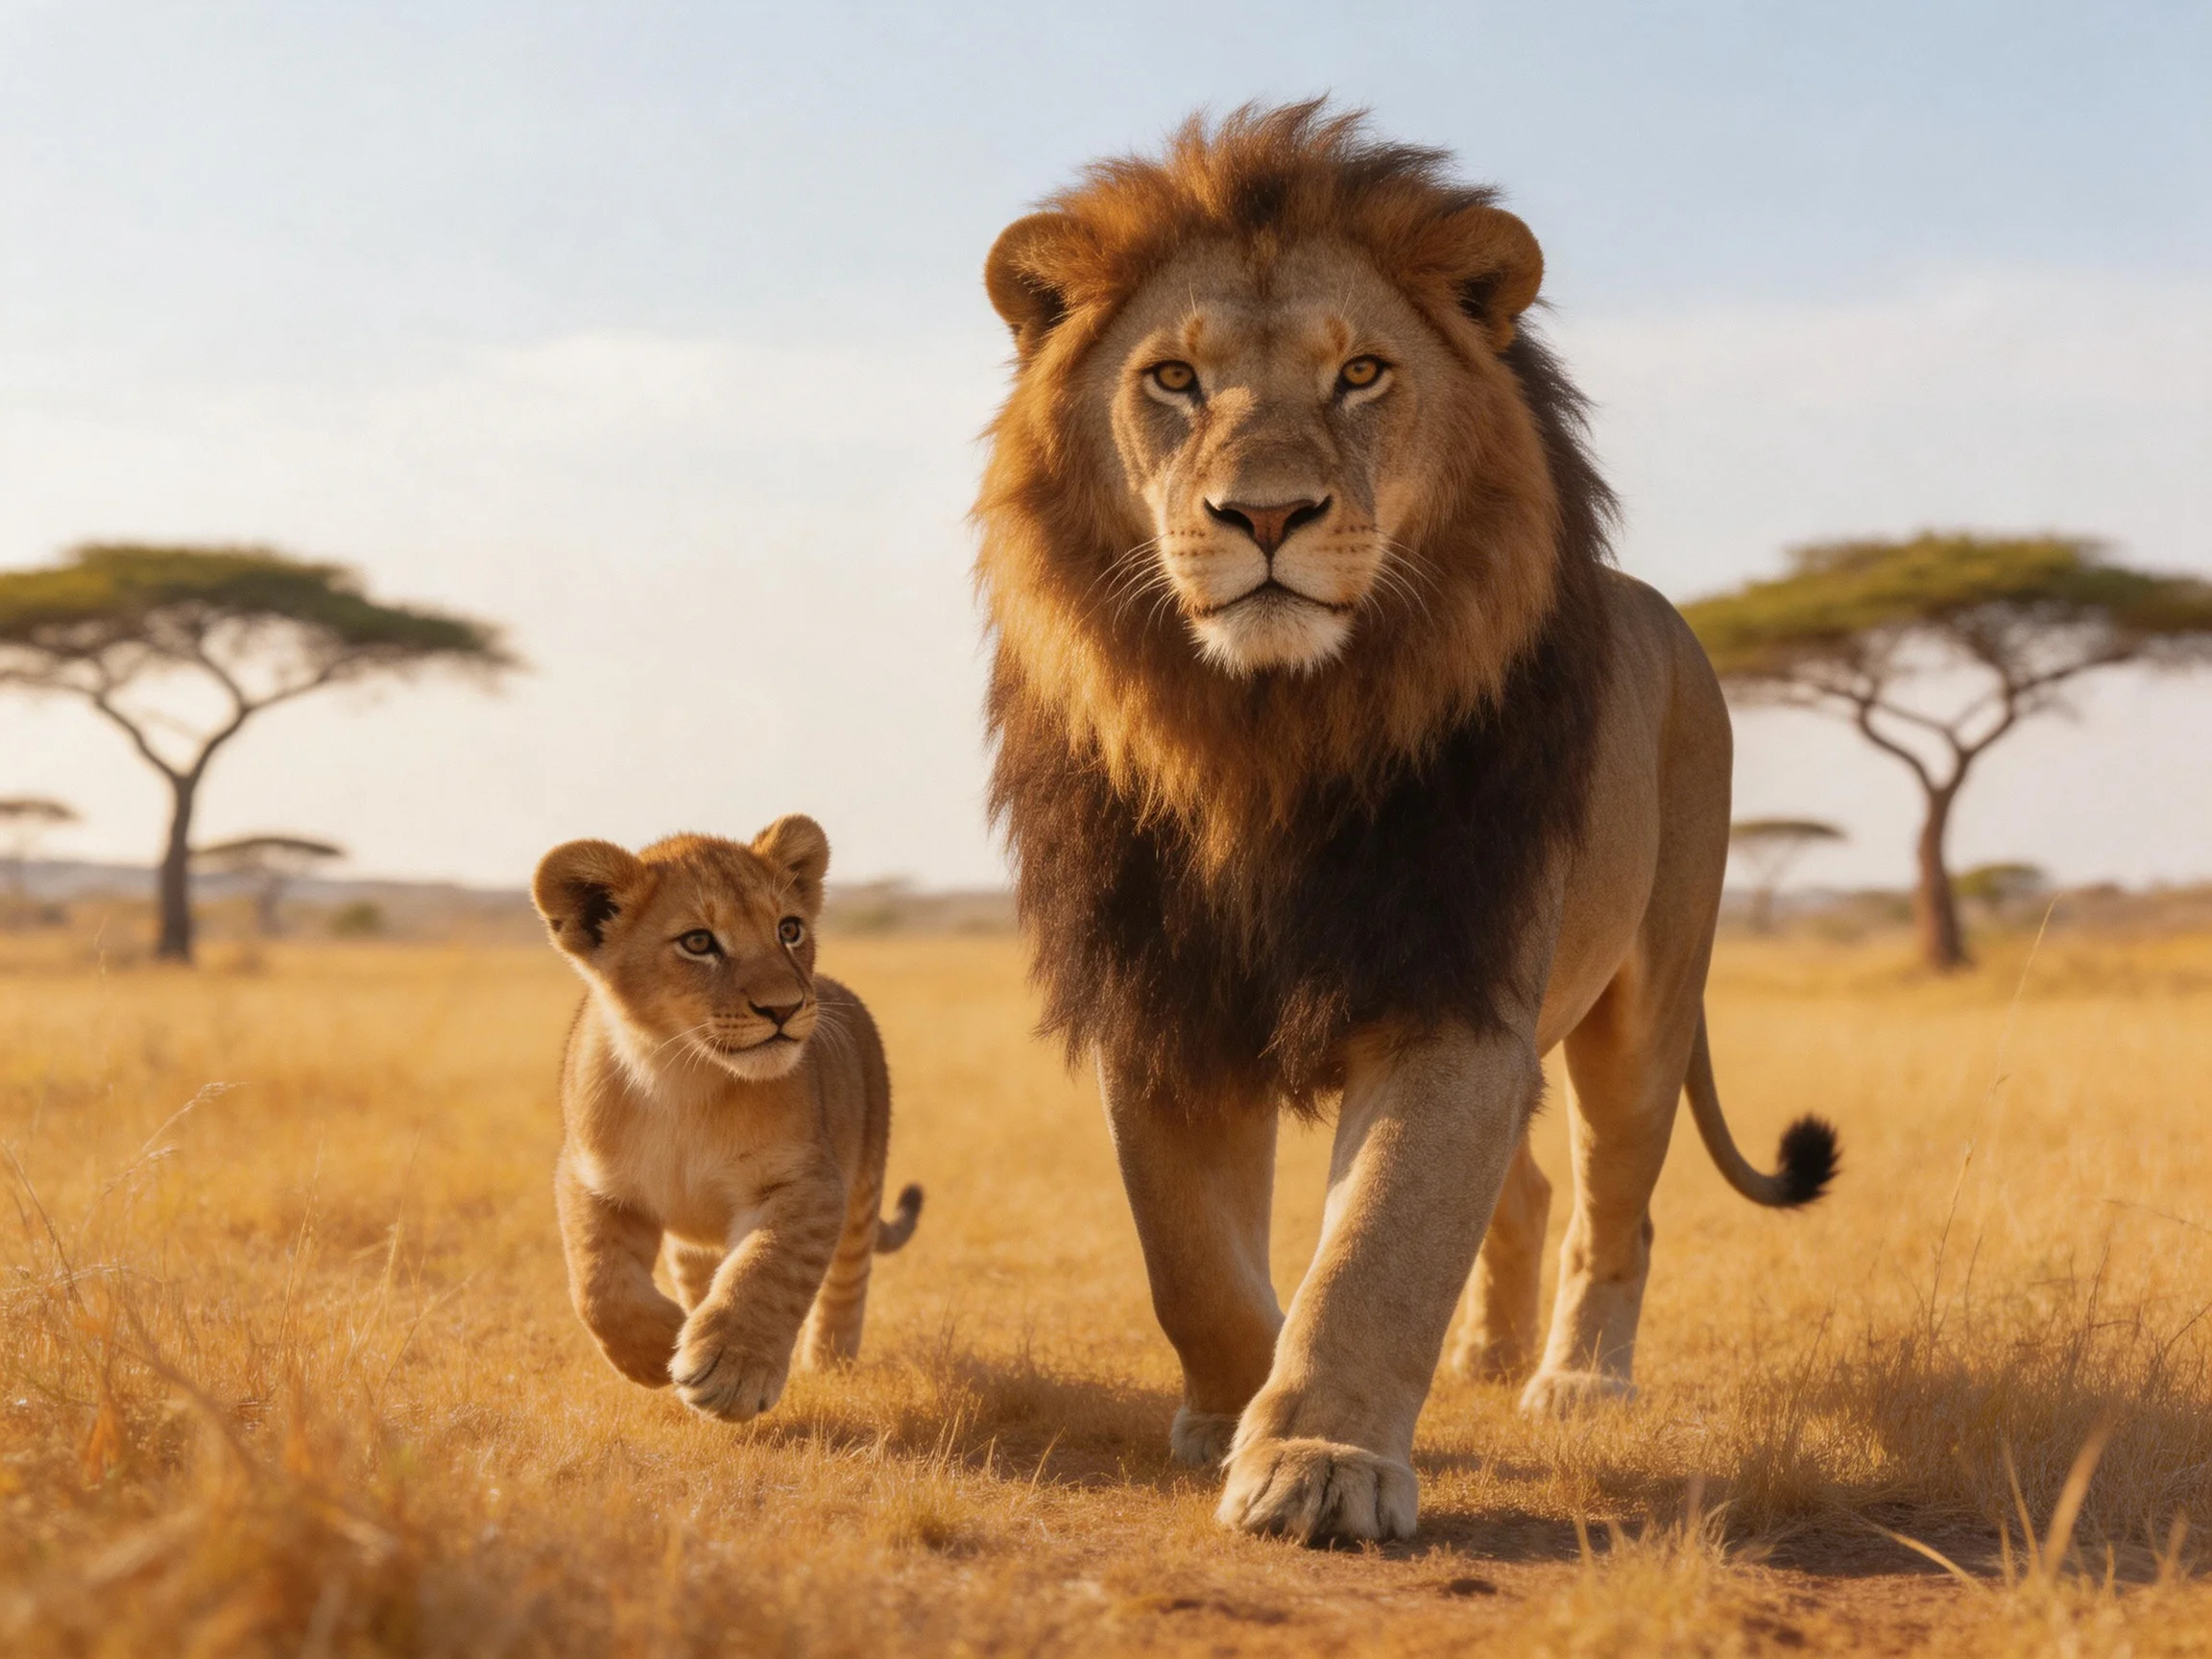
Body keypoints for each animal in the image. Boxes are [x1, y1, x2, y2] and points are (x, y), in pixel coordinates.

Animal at [531, 818, 922, 1421]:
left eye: (789, 929)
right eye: (698, 942)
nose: (784, 1008)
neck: (680, 1078)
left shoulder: (807, 1181)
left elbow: (767, 1267)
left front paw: (731, 1371)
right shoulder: (591, 1178)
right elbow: (598, 1281)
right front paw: (655, 1350)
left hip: (863, 1184)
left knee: (846, 1280)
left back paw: (830, 1365)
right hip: (692, 1241)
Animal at [975, 102, 1835, 1545]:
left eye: (1363, 373)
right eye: (1174, 380)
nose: (1267, 515)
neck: (1260, 737)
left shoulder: (1452, 988)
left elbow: (1377, 1242)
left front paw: (1319, 1458)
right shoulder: (1158, 995)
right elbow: (1188, 1255)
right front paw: (1230, 1408)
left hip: (1647, 1005)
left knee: (1615, 1207)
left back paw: (1576, 1380)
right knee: (1527, 1189)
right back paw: (1487, 1355)